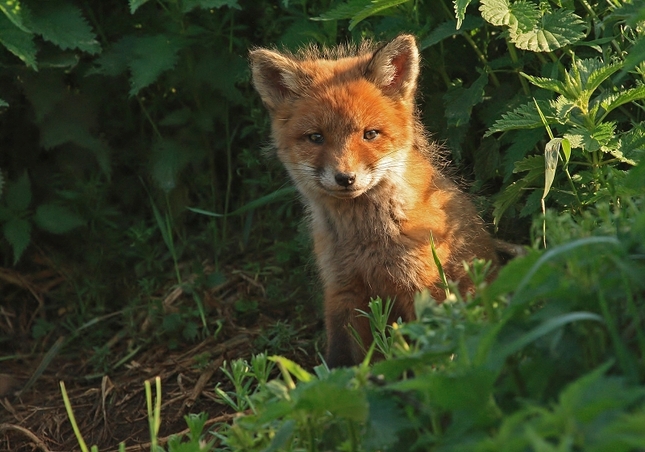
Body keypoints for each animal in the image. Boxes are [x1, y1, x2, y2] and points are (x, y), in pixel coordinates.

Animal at [249, 34, 496, 368]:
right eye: (316, 138)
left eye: (370, 134)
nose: (345, 177)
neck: (365, 246)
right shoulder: (341, 292)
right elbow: (342, 359)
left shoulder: (424, 287)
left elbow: (433, 351)